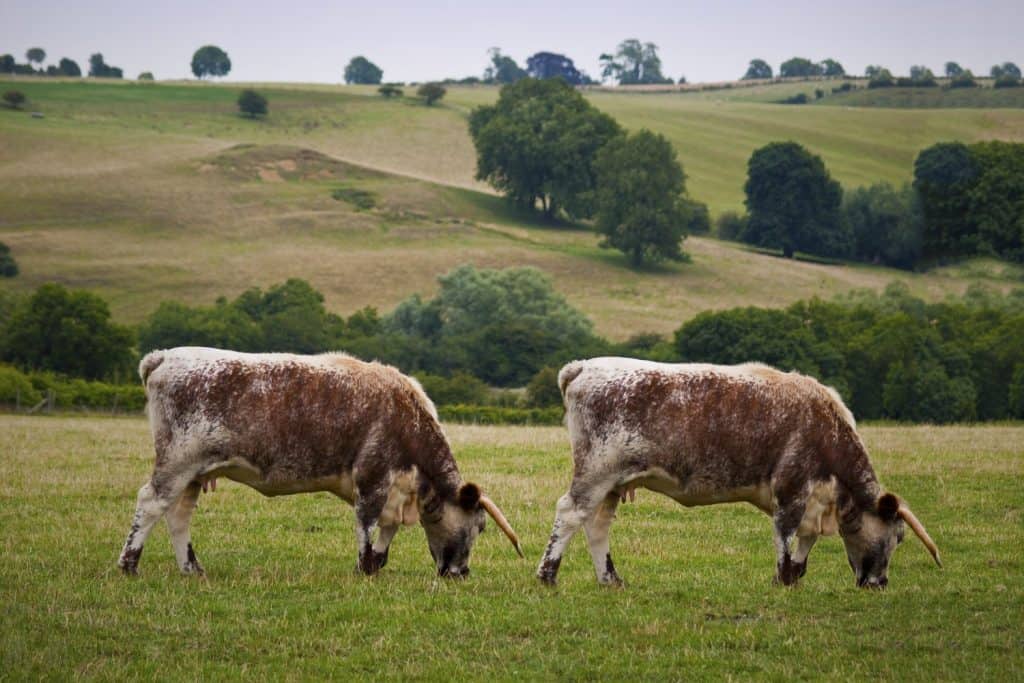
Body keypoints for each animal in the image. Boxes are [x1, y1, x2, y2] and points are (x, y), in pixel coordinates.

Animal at [118, 347, 522, 578]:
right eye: (480, 526)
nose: (461, 572)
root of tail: (164, 356)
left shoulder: (394, 488)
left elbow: (387, 529)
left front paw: (378, 561)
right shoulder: (373, 477)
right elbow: (367, 524)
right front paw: (365, 567)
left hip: (195, 472)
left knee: (178, 514)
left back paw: (191, 568)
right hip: (178, 460)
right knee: (151, 503)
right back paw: (129, 564)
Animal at [537, 357, 941, 589]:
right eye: (898, 537)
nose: (880, 583)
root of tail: (584, 366)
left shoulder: (812, 500)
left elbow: (806, 539)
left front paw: (796, 575)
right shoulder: (791, 487)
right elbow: (785, 535)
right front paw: (783, 578)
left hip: (613, 482)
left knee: (597, 524)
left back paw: (610, 579)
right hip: (596, 470)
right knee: (570, 513)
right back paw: (548, 575)